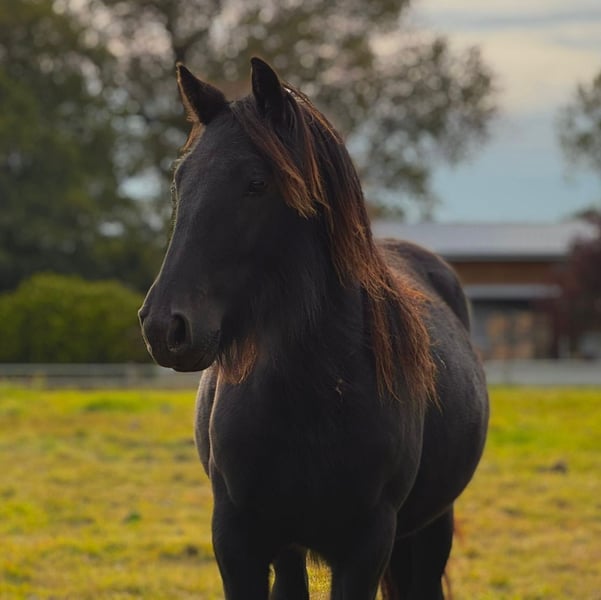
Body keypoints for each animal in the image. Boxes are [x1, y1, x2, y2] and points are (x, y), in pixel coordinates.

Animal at [139, 57, 489, 600]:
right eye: (180, 181)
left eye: (257, 183)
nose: (163, 326)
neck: (313, 390)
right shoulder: (238, 541)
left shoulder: (367, 544)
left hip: (433, 526)